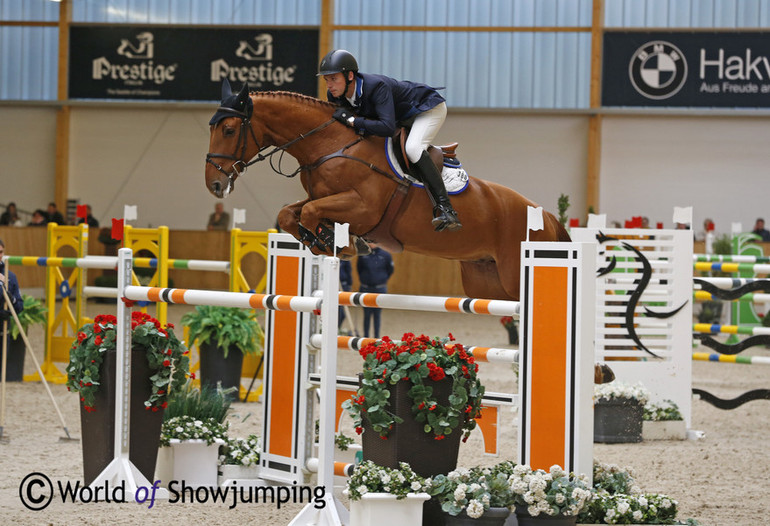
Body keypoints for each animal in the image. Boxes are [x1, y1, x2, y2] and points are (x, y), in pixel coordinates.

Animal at [202, 84, 564, 304]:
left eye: (229, 130)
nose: (214, 185)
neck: (329, 144)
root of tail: (546, 215)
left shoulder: (363, 207)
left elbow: (309, 213)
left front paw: (341, 244)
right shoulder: (323, 197)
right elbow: (290, 213)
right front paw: (325, 240)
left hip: (515, 276)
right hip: (487, 281)